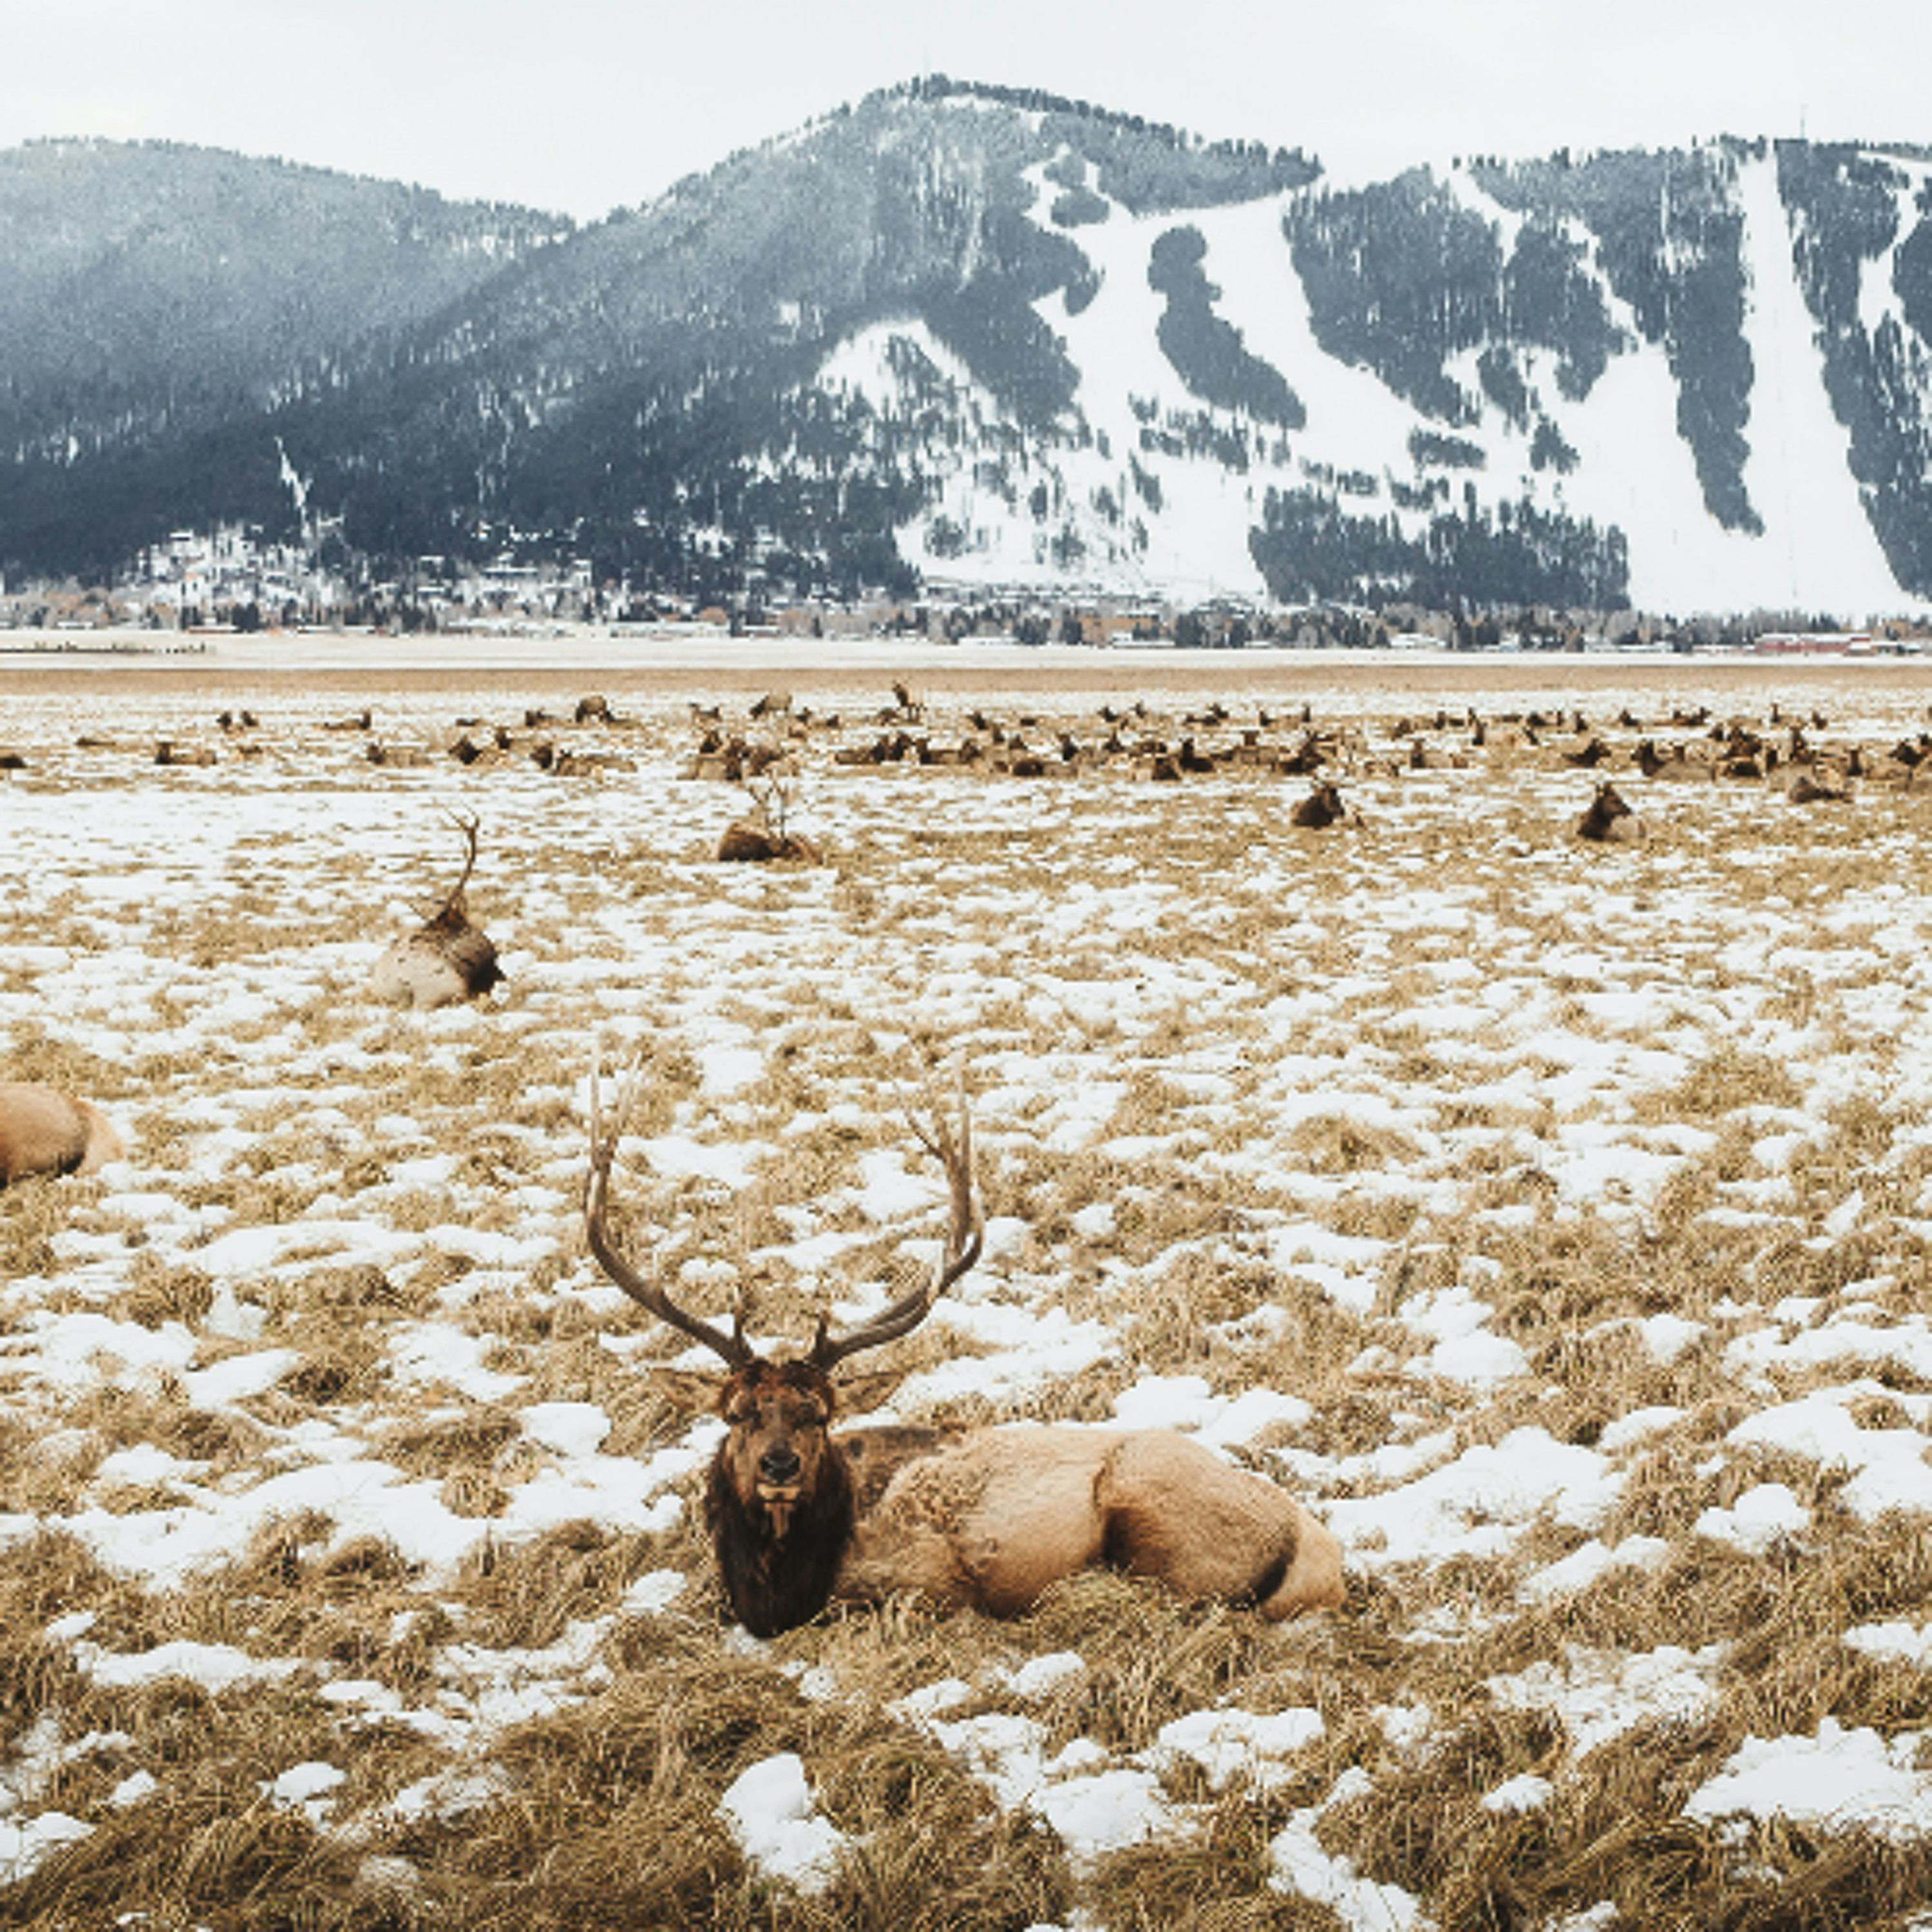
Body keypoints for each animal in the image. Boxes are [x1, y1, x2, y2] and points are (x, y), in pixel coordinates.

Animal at [584, 1064, 1345, 1639]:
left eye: (820, 1414)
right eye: (737, 1412)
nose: (779, 1464)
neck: (774, 1590)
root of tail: (1320, 1551)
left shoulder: (924, 1574)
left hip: (1155, 1512)